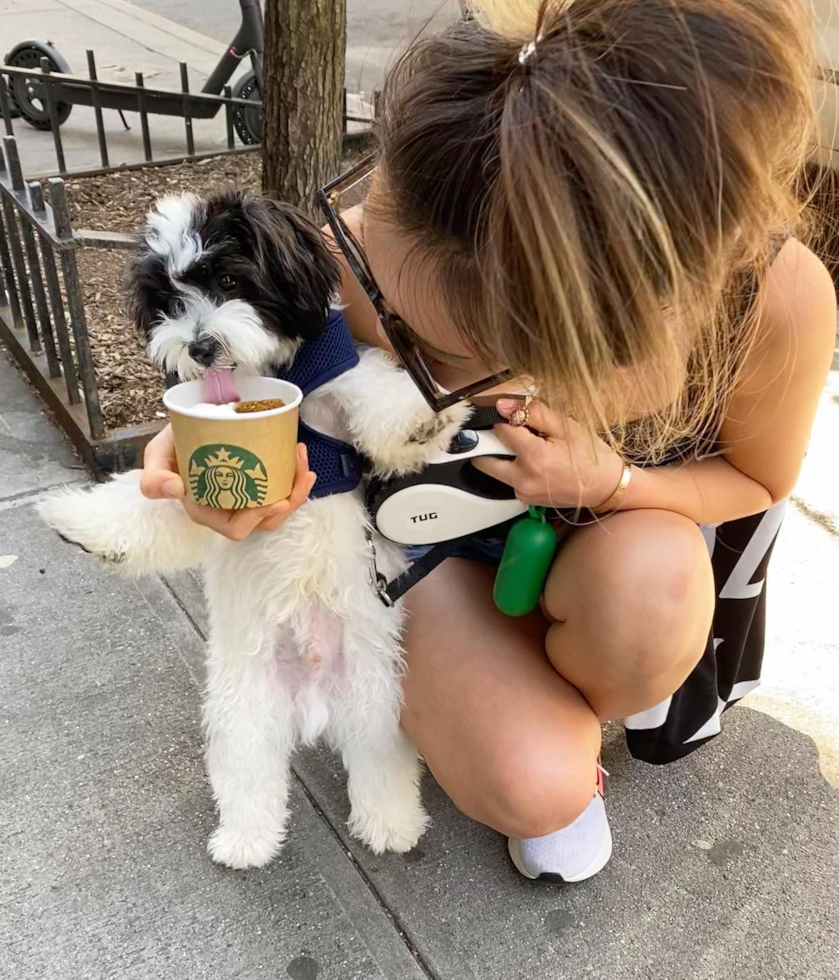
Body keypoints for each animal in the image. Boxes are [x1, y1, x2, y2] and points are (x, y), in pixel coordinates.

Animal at [39, 195, 470, 868]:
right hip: (244, 709)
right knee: (249, 773)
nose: (200, 346)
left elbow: (378, 401)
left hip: (375, 701)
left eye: (230, 281)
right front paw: (83, 523)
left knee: (379, 763)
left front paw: (425, 420)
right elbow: (153, 505)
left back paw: (390, 824)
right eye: (168, 300)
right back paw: (247, 840)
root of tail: (311, 705)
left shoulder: (343, 386)